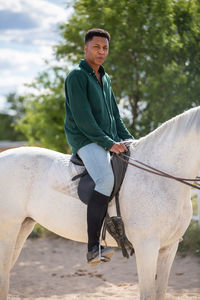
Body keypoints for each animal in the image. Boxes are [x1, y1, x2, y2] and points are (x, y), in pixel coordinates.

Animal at [0, 106, 200, 298]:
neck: (160, 178)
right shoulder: (147, 247)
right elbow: (148, 294)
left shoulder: (169, 247)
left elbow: (160, 293)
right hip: (8, 230)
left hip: (23, 227)